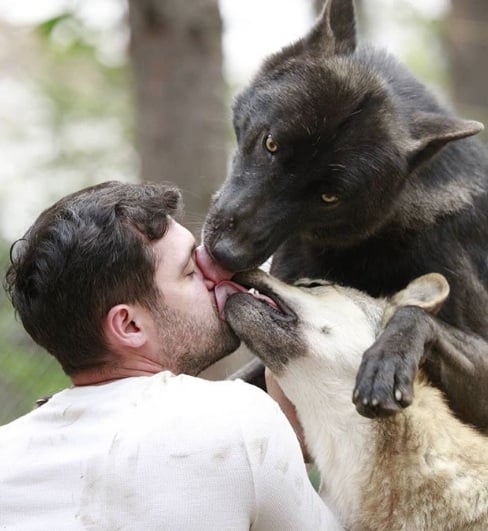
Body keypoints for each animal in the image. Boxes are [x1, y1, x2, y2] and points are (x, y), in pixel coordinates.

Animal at [203, 0, 488, 430]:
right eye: (271, 144)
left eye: (329, 197)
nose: (225, 254)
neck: (380, 237)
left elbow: (414, 313)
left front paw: (386, 363)